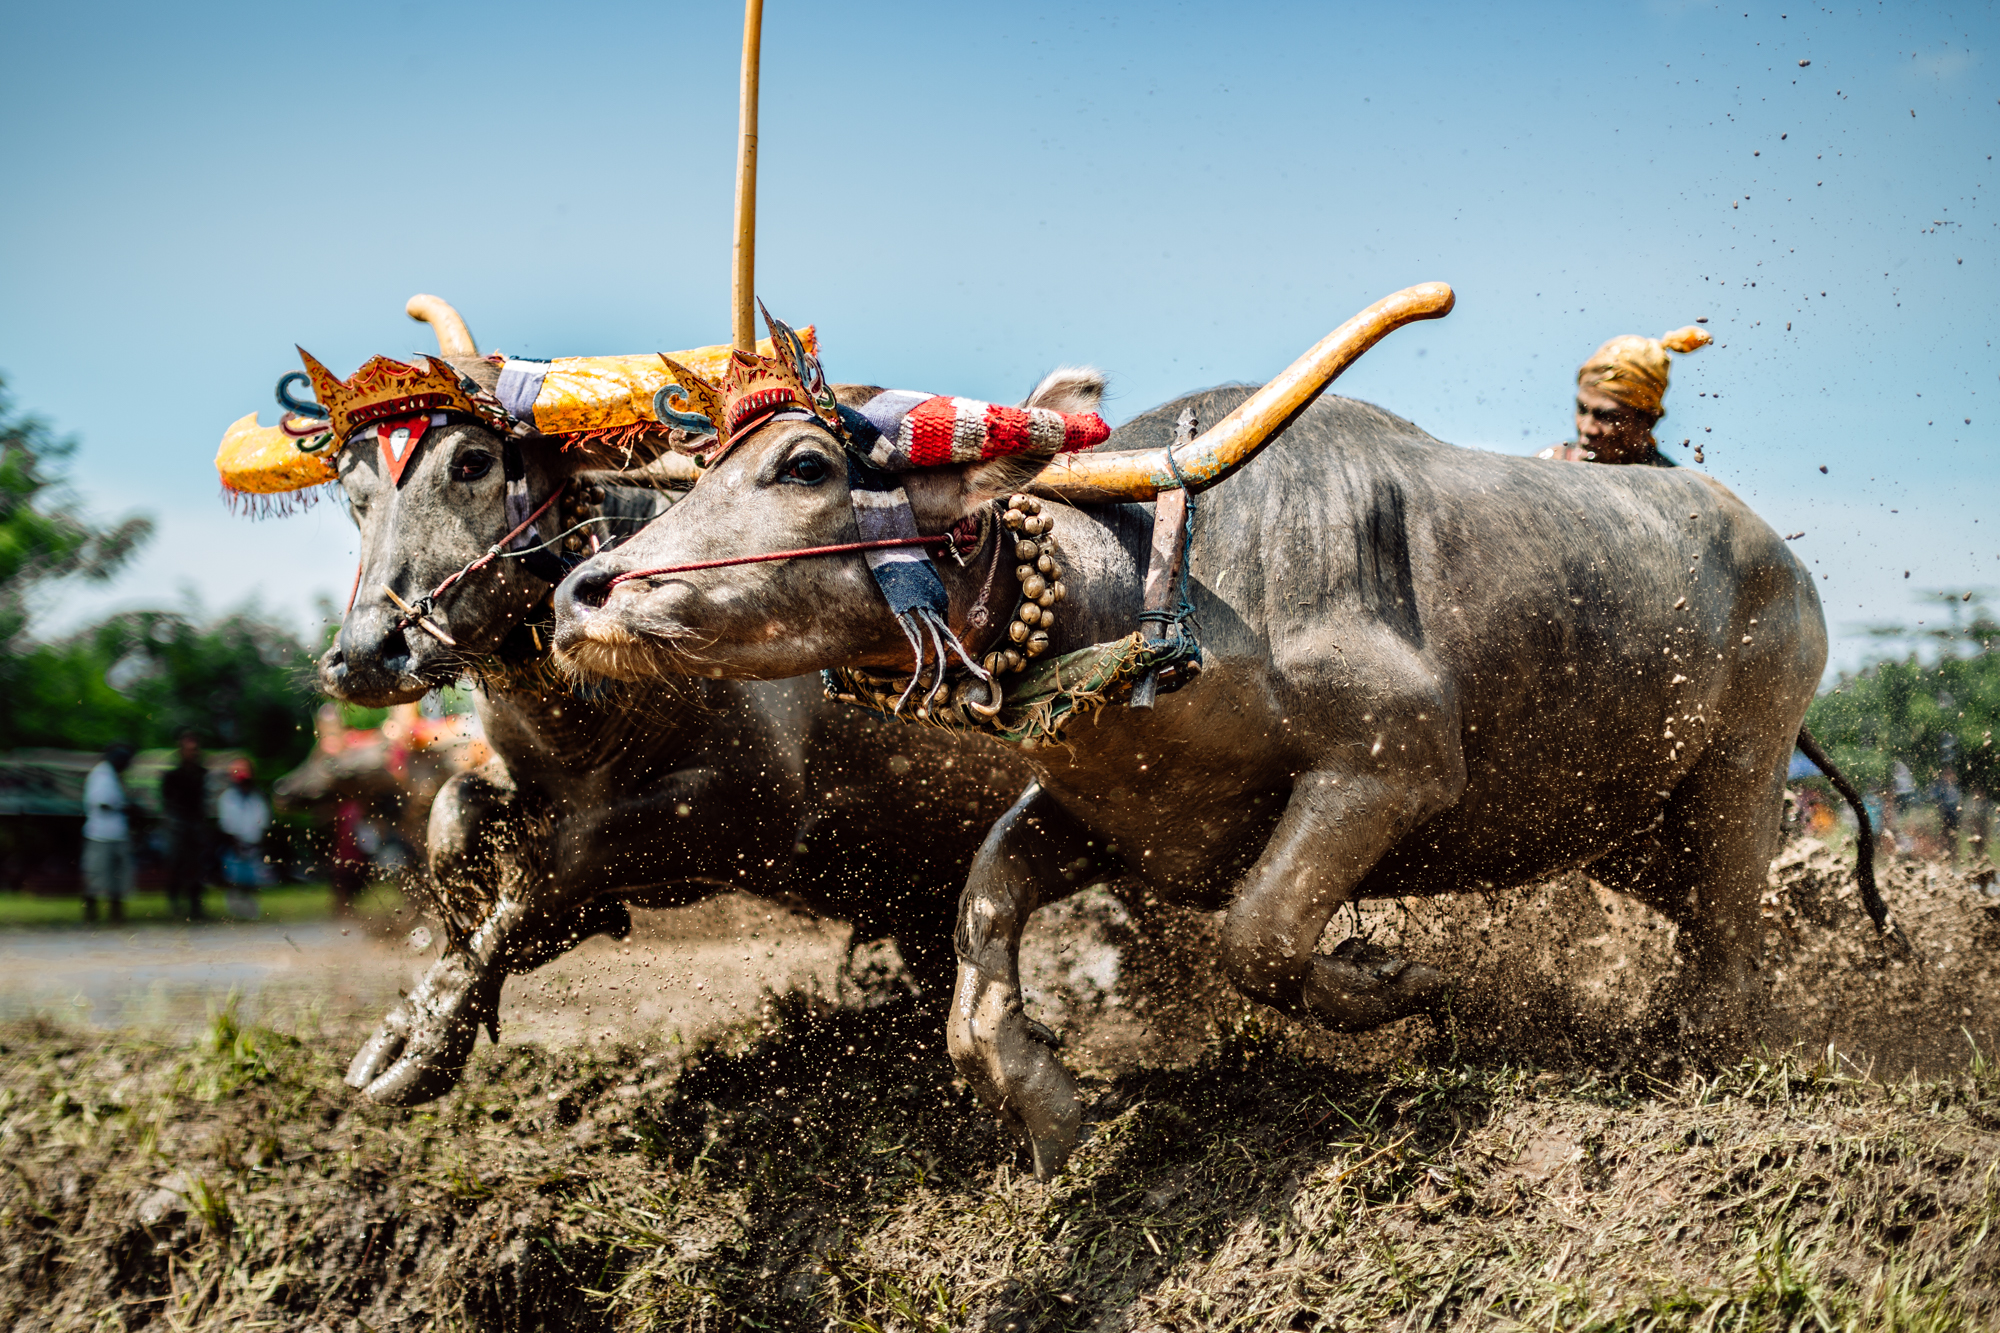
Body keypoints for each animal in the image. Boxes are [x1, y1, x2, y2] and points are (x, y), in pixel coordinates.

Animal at [308, 300, 1032, 1096]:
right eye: (352, 491)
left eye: (472, 461)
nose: (368, 654)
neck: (585, 720)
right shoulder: (519, 777)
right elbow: (452, 811)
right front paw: (430, 990)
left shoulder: (745, 808)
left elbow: (560, 865)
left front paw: (426, 1040)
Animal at [552, 290, 1888, 1176]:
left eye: (803, 464)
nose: (582, 593)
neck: (1159, 594)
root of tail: (1775, 556)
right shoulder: (1105, 814)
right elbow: (977, 936)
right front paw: (1048, 1108)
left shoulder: (1390, 765)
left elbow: (1260, 934)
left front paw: (1394, 980)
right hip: (1614, 824)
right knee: (1722, 907)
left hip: (1739, 763)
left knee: (1727, 936)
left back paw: (1698, 1043)